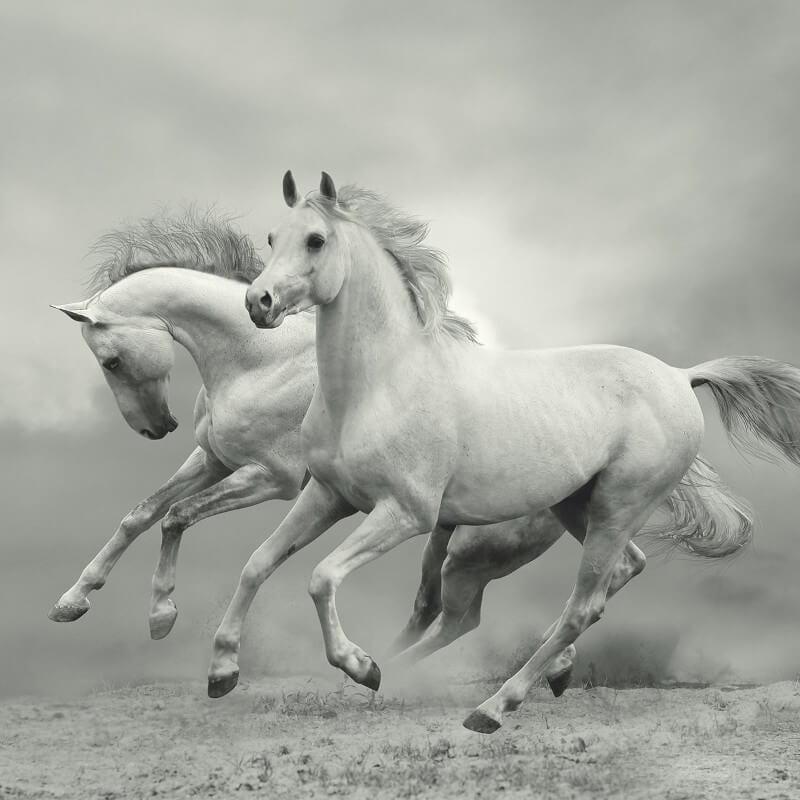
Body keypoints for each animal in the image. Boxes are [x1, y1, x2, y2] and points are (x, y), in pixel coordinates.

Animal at [224, 170, 800, 733]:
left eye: (316, 240)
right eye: (272, 238)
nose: (259, 303)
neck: (381, 384)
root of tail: (681, 376)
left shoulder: (405, 514)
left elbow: (321, 577)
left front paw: (361, 666)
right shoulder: (328, 495)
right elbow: (258, 563)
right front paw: (222, 671)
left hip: (617, 508)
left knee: (581, 606)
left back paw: (493, 707)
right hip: (578, 506)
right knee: (618, 573)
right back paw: (539, 675)